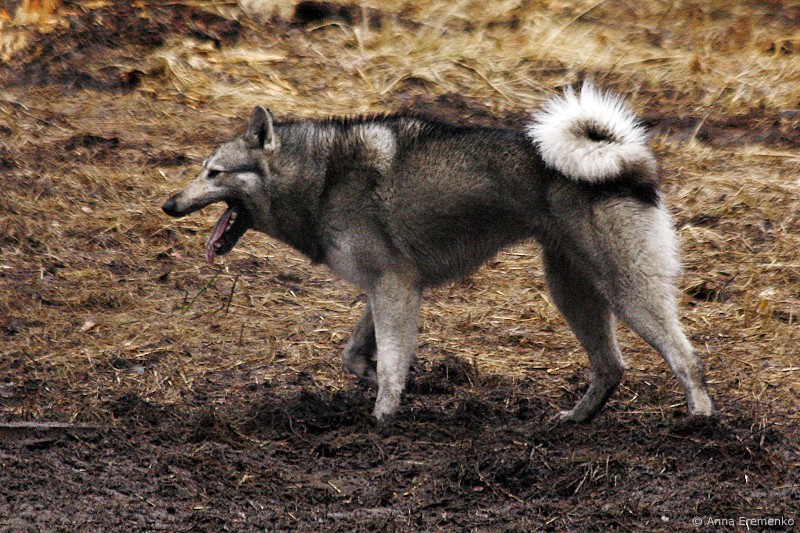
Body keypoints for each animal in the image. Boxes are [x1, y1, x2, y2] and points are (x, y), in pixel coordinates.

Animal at [162, 83, 716, 423]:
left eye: (214, 173)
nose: (168, 205)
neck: (321, 178)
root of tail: (627, 159)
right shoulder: (390, 289)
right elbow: (357, 356)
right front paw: (380, 384)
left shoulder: (393, 289)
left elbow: (390, 366)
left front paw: (383, 416)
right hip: (572, 293)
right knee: (612, 367)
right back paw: (576, 418)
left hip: (628, 293)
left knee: (687, 357)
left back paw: (700, 422)